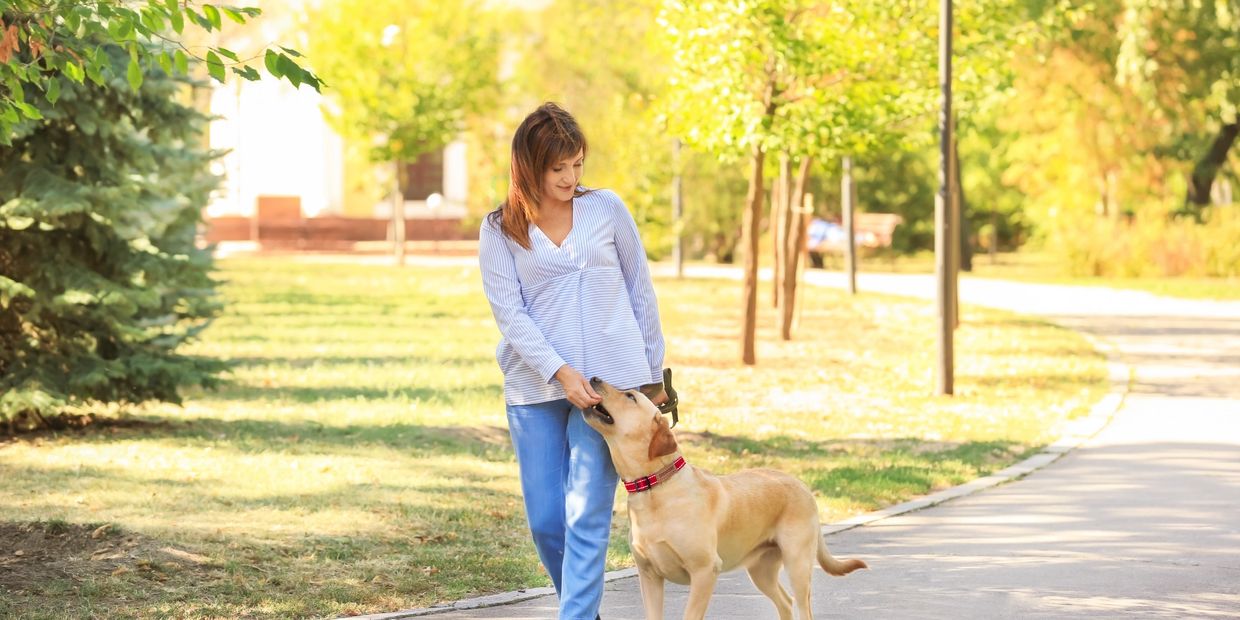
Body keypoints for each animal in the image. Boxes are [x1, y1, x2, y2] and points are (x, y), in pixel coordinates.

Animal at [585, 374, 868, 620]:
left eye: (630, 396)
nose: (594, 378)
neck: (654, 487)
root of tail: (802, 484)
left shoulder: (704, 571)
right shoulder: (649, 576)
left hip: (797, 563)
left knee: (802, 607)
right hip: (761, 570)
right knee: (785, 602)